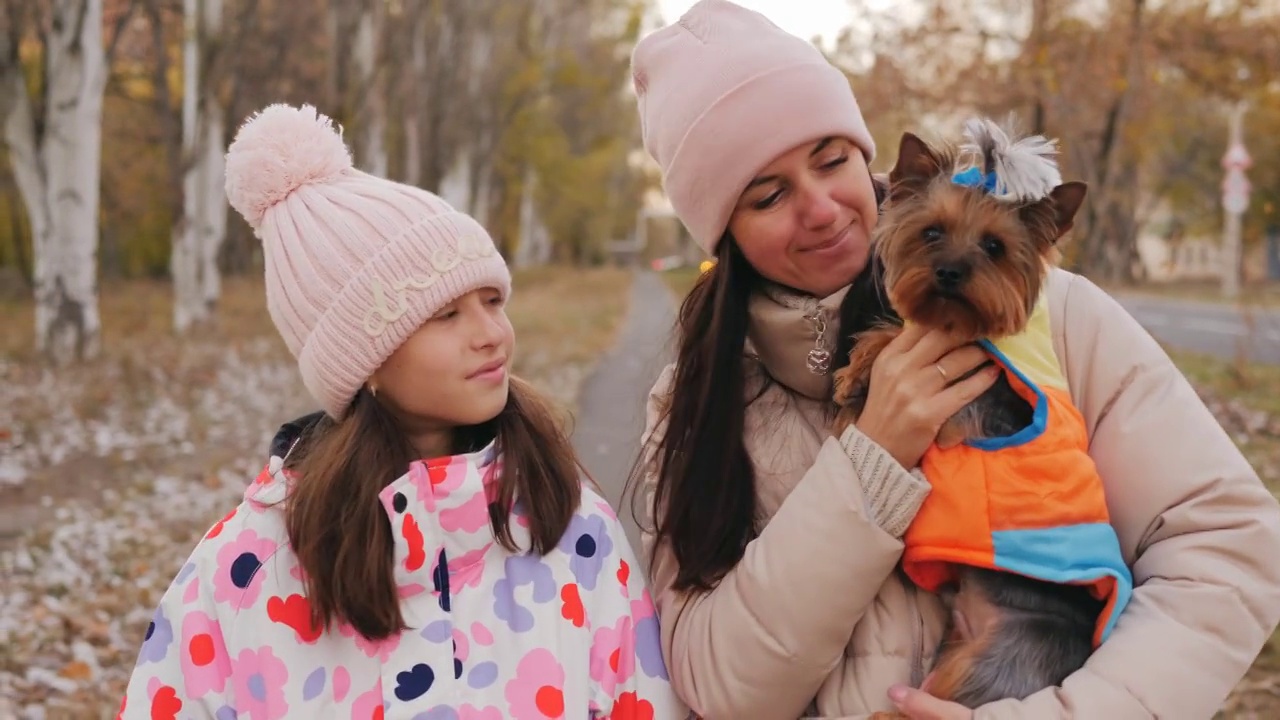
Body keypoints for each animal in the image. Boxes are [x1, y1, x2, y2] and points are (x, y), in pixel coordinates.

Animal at [839, 116, 1131, 707]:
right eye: (931, 233)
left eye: (994, 247)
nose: (950, 272)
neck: (958, 327)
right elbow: (892, 334)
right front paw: (858, 366)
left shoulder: (960, 415)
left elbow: (900, 344)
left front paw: (862, 368)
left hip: (992, 666)